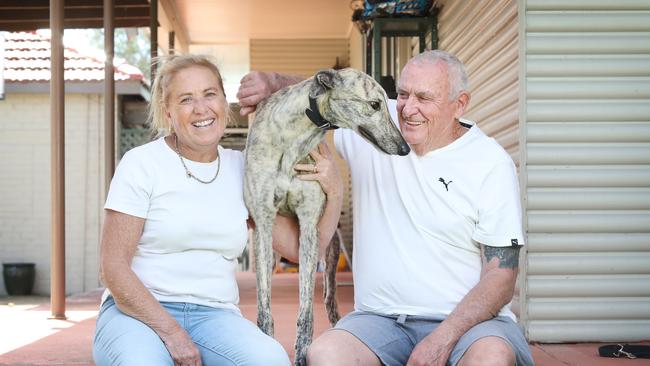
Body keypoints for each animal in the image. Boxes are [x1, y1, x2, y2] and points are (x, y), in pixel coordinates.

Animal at [243, 68, 410, 364]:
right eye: (375, 105)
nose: (405, 148)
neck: (295, 139)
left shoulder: (309, 226)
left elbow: (306, 312)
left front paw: (301, 354)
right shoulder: (263, 223)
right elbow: (264, 309)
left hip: (332, 246)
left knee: (329, 296)